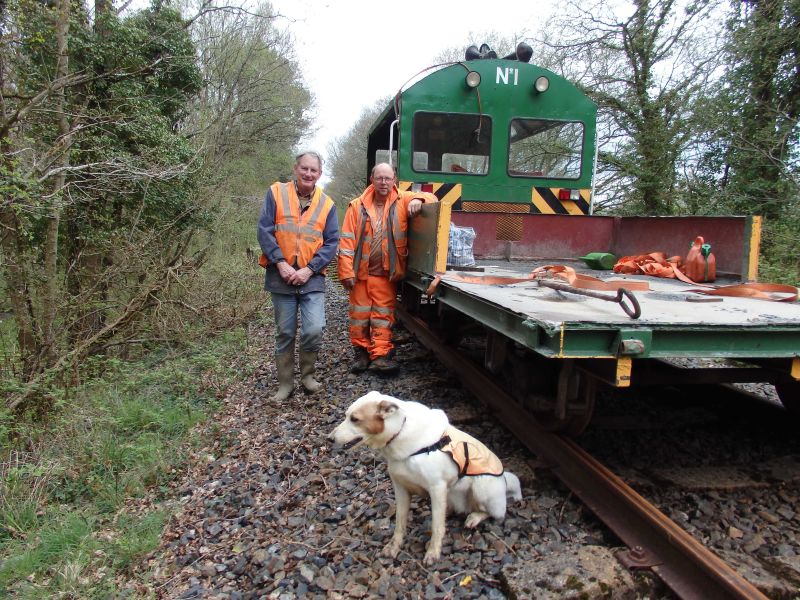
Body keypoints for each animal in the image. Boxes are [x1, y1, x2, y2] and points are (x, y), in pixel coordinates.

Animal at [328, 392, 520, 564]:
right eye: (346, 416)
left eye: (354, 419)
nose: (329, 438)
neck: (399, 432)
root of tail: (504, 479)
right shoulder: (400, 488)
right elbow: (400, 523)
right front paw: (393, 547)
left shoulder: (437, 487)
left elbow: (436, 527)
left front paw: (433, 552)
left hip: (481, 487)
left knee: (494, 513)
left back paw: (474, 517)